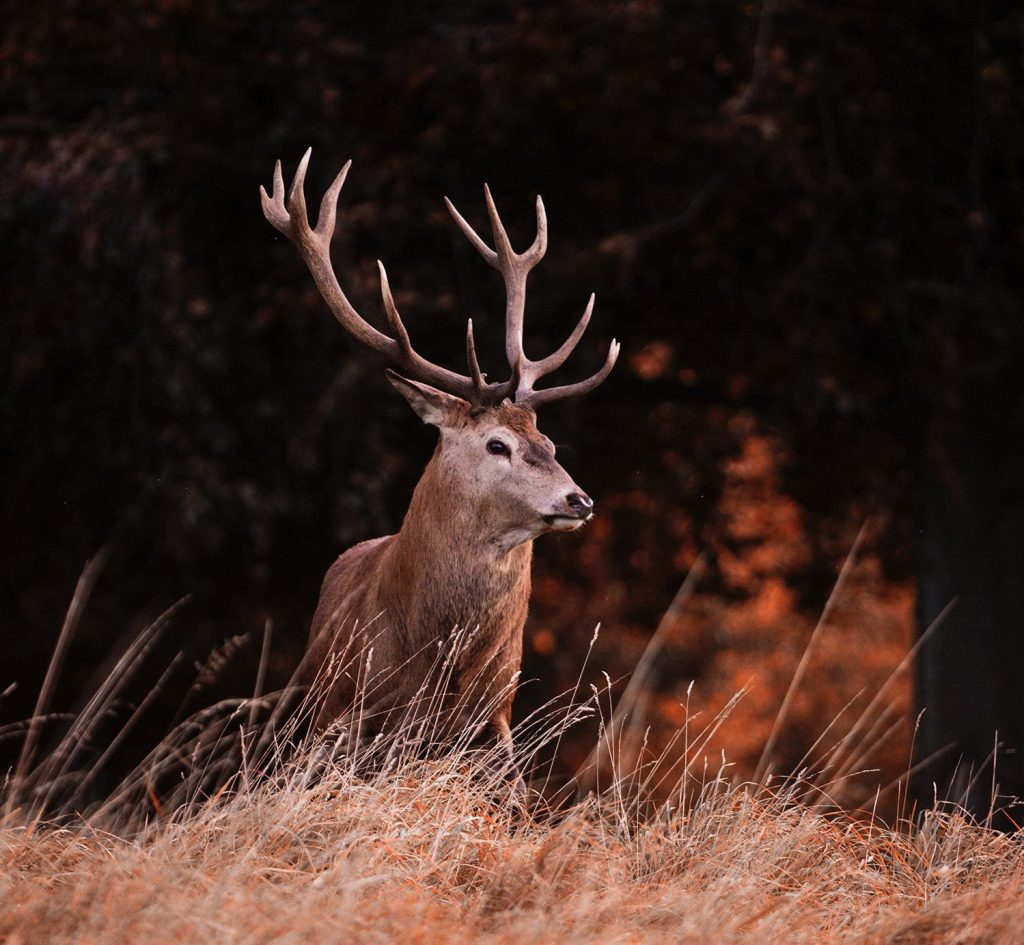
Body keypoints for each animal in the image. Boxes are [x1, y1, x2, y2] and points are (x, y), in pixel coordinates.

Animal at [260, 151, 618, 794]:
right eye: (498, 444)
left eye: (549, 441)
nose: (579, 500)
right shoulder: (355, 714)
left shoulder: (496, 718)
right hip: (315, 704)